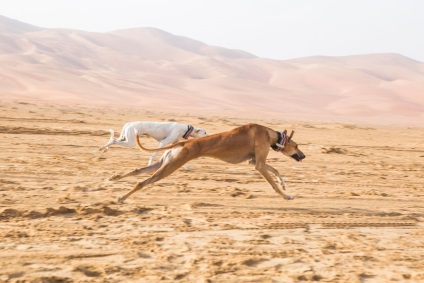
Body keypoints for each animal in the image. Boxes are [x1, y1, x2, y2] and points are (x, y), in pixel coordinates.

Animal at [110, 123, 304, 203]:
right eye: (296, 145)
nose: (303, 156)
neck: (270, 134)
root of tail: (183, 143)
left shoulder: (254, 161)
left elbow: (276, 171)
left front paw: (284, 184)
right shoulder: (259, 165)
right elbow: (273, 182)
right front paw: (285, 195)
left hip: (165, 162)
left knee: (137, 171)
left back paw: (113, 178)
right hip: (171, 166)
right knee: (142, 182)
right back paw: (121, 197)